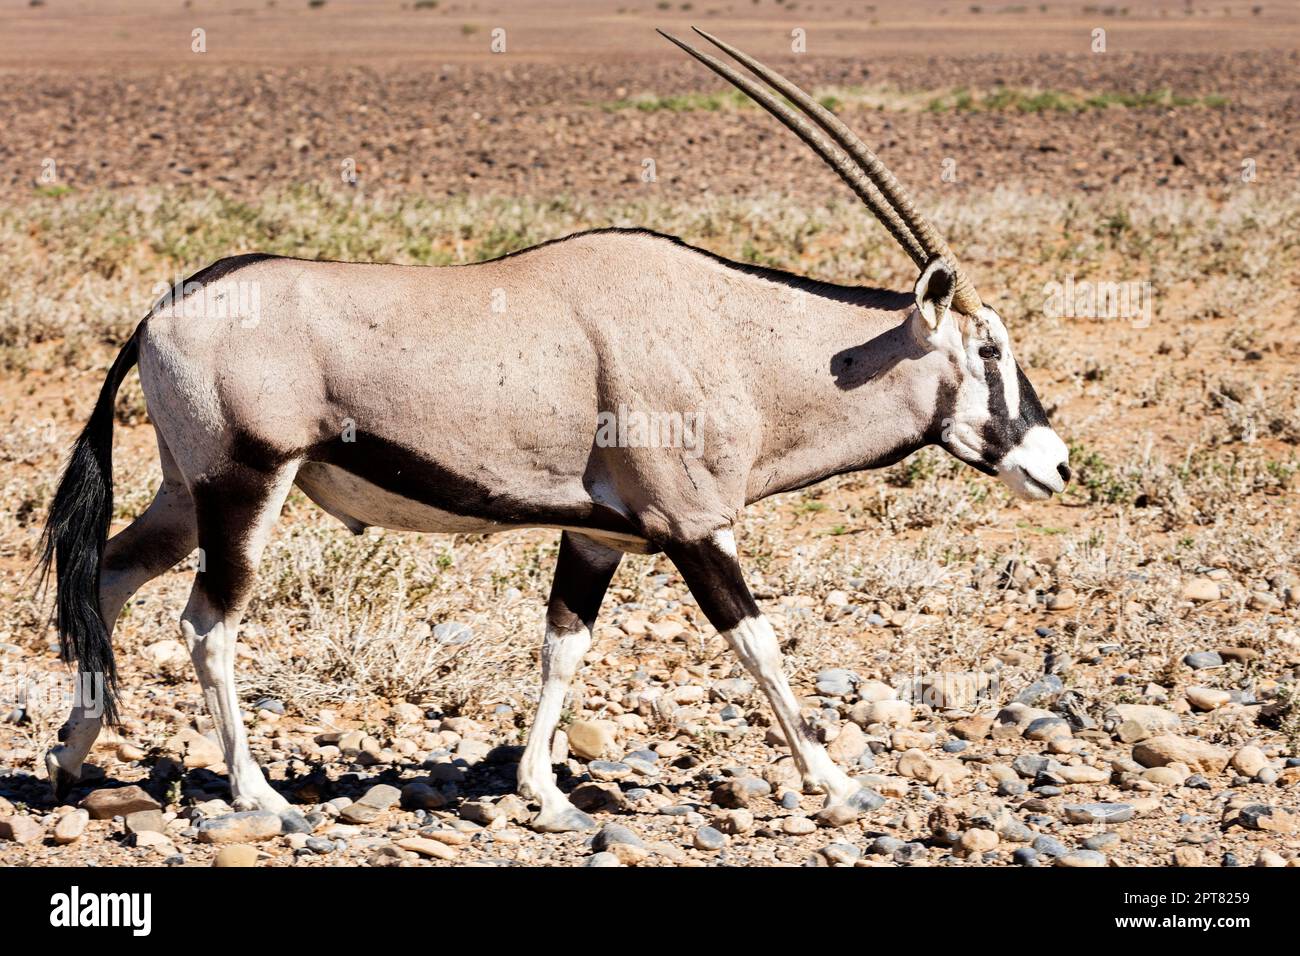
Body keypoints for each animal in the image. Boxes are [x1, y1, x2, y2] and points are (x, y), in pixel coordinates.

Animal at [39, 29, 1069, 835]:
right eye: (988, 347)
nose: (1054, 464)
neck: (732, 335)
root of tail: (165, 306)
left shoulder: (597, 534)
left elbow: (562, 646)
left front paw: (544, 790)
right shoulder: (696, 529)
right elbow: (759, 644)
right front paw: (837, 783)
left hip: (186, 491)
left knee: (110, 576)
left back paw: (69, 758)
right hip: (247, 483)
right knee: (207, 623)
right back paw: (259, 796)